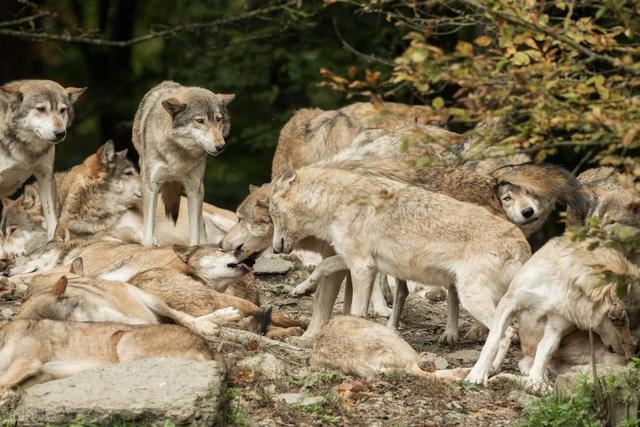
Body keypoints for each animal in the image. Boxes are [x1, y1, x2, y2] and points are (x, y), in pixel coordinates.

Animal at [132, 80, 235, 247]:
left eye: (218, 119)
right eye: (200, 121)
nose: (221, 146)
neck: (179, 153)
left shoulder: (194, 188)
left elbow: (195, 235)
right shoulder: (151, 186)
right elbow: (147, 235)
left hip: (200, 191)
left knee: (202, 225)